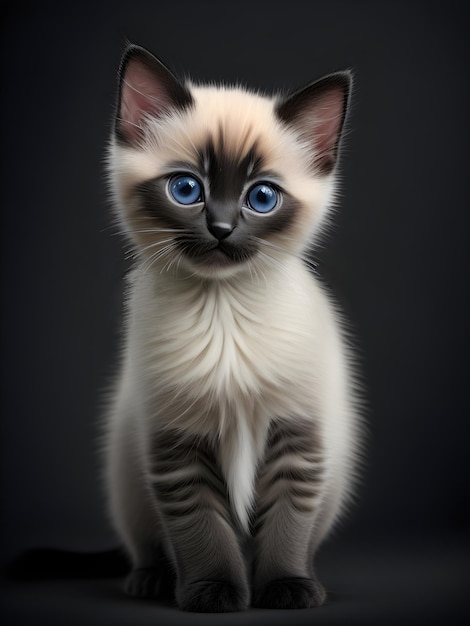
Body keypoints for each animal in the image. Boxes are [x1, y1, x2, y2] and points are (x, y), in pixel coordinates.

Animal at [104, 44, 362, 608]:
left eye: (261, 198)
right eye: (186, 189)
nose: (221, 229)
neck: (222, 311)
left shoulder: (296, 436)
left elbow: (288, 524)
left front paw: (285, 586)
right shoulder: (176, 443)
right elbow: (203, 531)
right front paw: (214, 590)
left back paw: (310, 581)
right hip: (127, 473)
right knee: (147, 541)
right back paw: (150, 580)